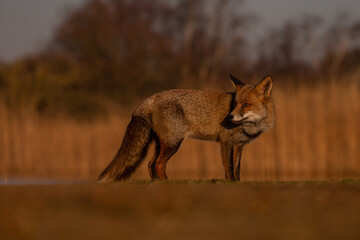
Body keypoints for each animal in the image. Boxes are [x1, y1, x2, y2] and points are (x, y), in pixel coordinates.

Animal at [97, 75, 274, 182]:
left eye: (246, 104)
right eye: (235, 104)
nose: (230, 117)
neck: (250, 126)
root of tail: (151, 98)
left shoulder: (239, 146)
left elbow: (237, 170)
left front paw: (237, 183)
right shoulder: (225, 143)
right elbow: (229, 169)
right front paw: (230, 184)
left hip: (162, 143)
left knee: (150, 163)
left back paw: (156, 182)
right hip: (173, 143)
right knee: (158, 164)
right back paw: (167, 183)